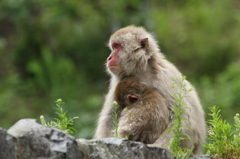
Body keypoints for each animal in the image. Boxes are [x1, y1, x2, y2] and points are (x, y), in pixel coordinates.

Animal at [94, 25, 206, 155]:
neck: (141, 71)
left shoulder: (166, 77)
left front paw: (158, 147)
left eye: (117, 46)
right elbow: (109, 117)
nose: (109, 57)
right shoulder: (117, 81)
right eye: (113, 47)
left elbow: (184, 119)